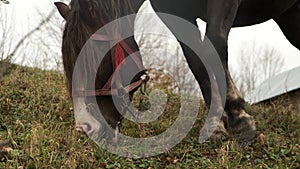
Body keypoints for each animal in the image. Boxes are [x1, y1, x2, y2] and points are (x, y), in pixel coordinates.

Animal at [54, 0, 300, 145]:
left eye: (92, 61)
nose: (86, 127)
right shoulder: (174, 11)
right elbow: (197, 60)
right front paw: (216, 123)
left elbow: (214, 47)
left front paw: (238, 116)